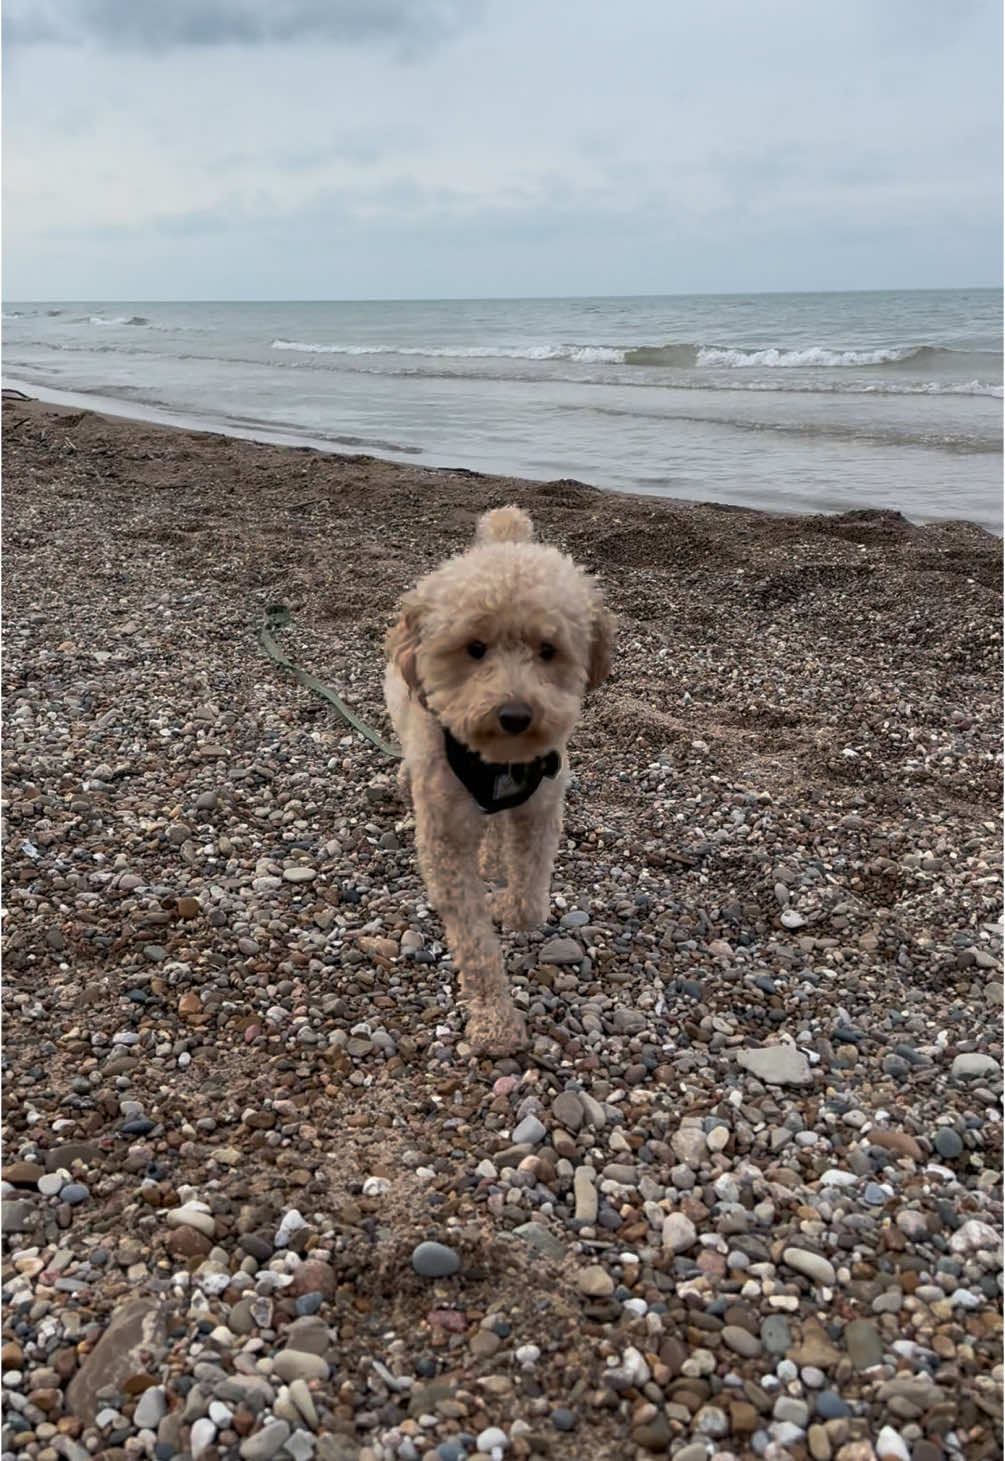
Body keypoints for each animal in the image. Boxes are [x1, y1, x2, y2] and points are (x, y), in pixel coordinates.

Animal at [382, 508, 613, 1057]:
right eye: (475, 648)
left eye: (548, 649)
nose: (515, 715)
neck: (498, 762)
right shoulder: (444, 842)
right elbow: (475, 943)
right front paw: (495, 1025)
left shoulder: (542, 808)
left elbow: (530, 902)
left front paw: (506, 904)